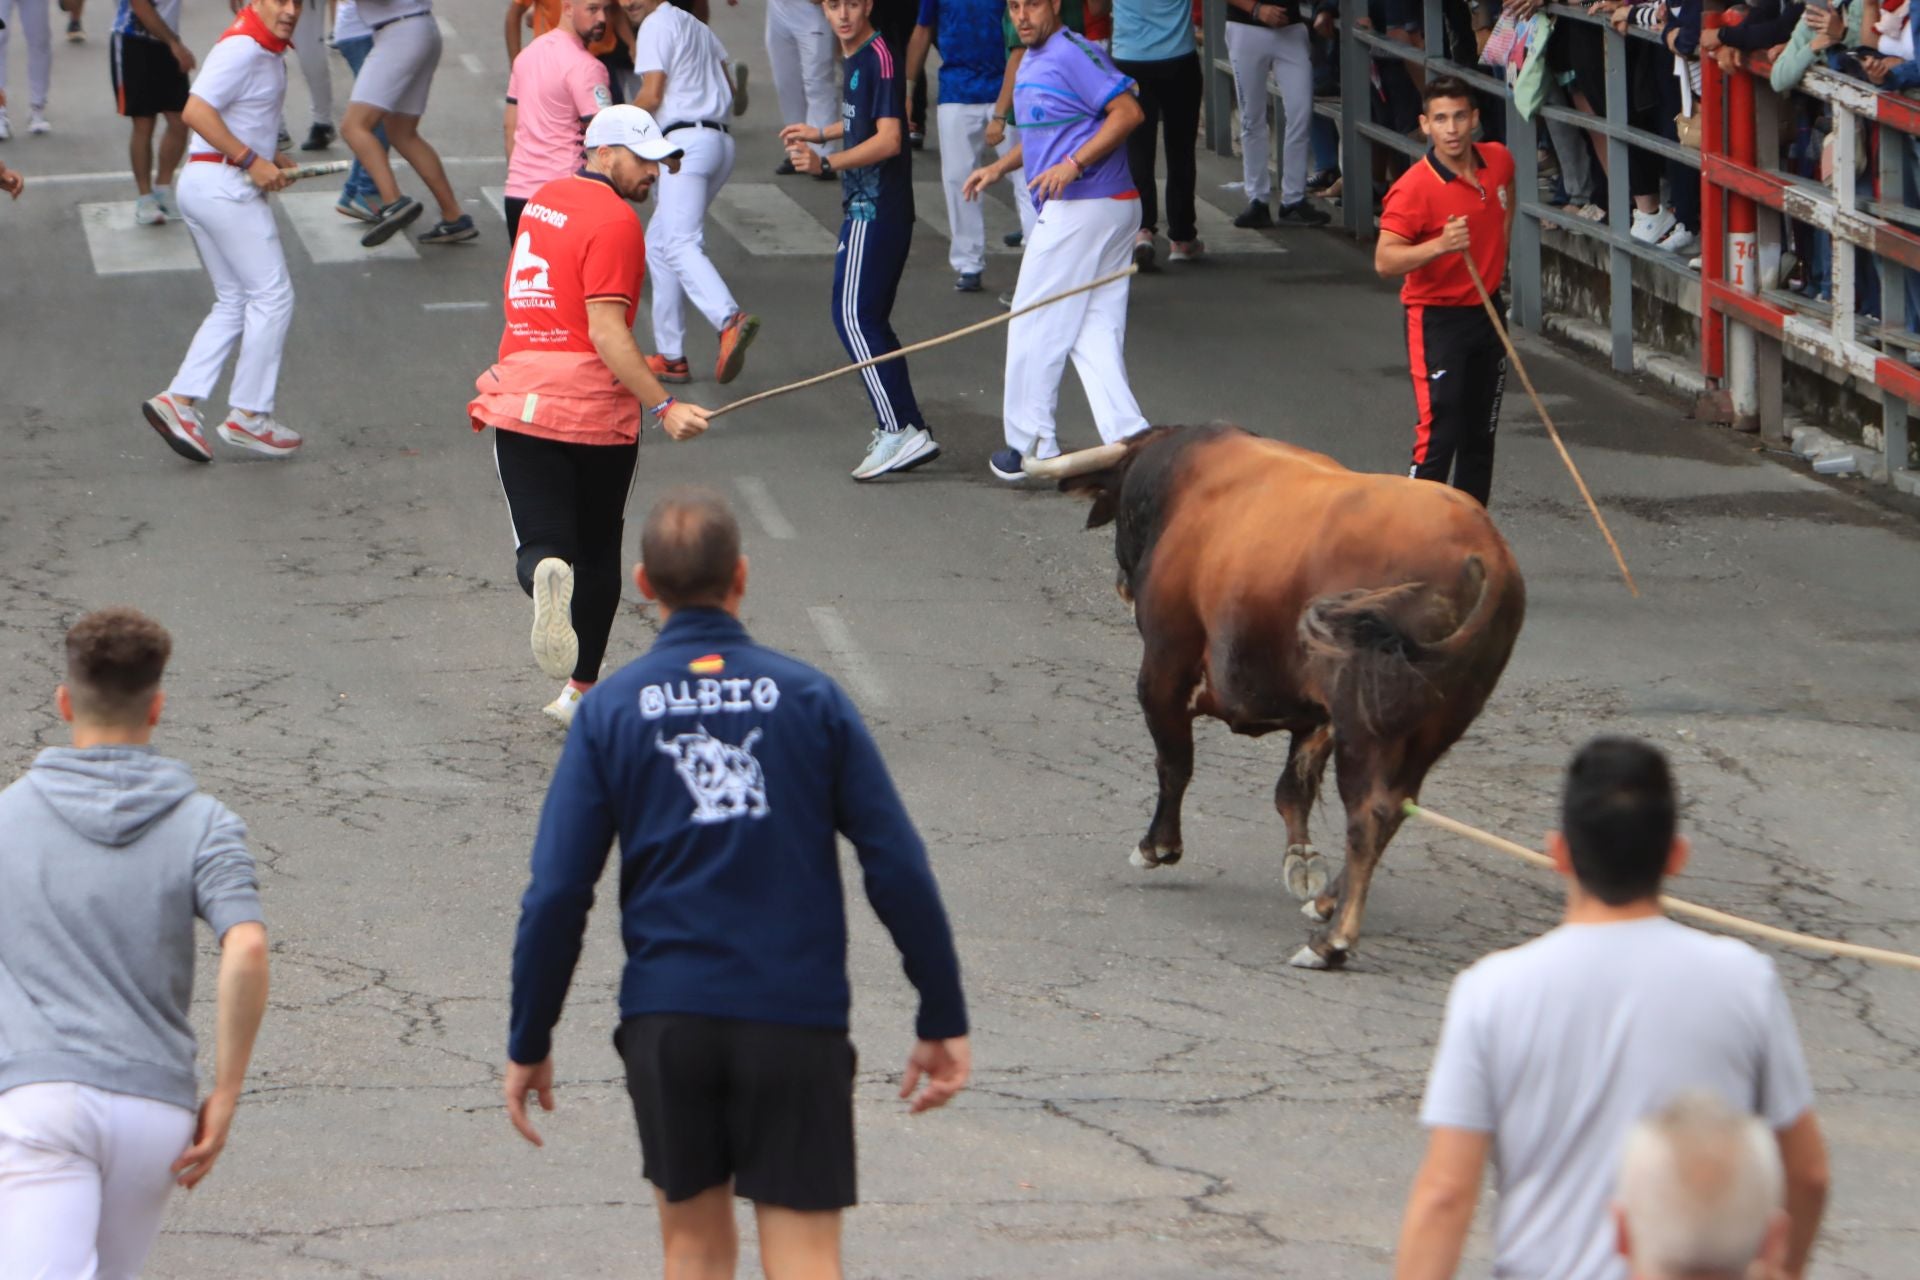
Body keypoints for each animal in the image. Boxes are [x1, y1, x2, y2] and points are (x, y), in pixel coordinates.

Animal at [1036, 426, 1528, 967]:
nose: (1123, 584)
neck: (1184, 483)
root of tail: (1486, 551)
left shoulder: (1164, 668)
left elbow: (1174, 764)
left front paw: (1158, 846)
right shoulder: (1315, 713)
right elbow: (1293, 788)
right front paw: (1303, 859)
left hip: (1366, 724)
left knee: (1370, 812)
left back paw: (1332, 941)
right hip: (1432, 727)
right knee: (1398, 806)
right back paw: (1327, 902)